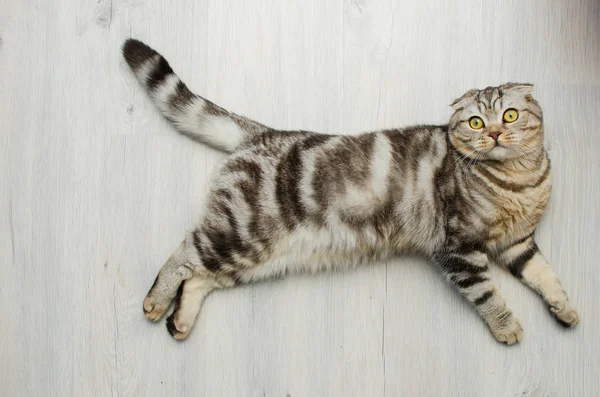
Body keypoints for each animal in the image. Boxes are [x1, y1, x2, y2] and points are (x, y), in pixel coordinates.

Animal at [122, 38, 576, 344]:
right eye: (477, 123)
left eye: (510, 115)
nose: (495, 133)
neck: (519, 179)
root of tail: (262, 134)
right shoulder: (459, 248)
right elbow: (487, 294)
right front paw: (507, 326)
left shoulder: (519, 243)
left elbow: (545, 275)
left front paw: (564, 307)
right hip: (240, 233)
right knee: (185, 253)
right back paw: (156, 301)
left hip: (256, 258)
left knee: (201, 277)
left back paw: (181, 320)